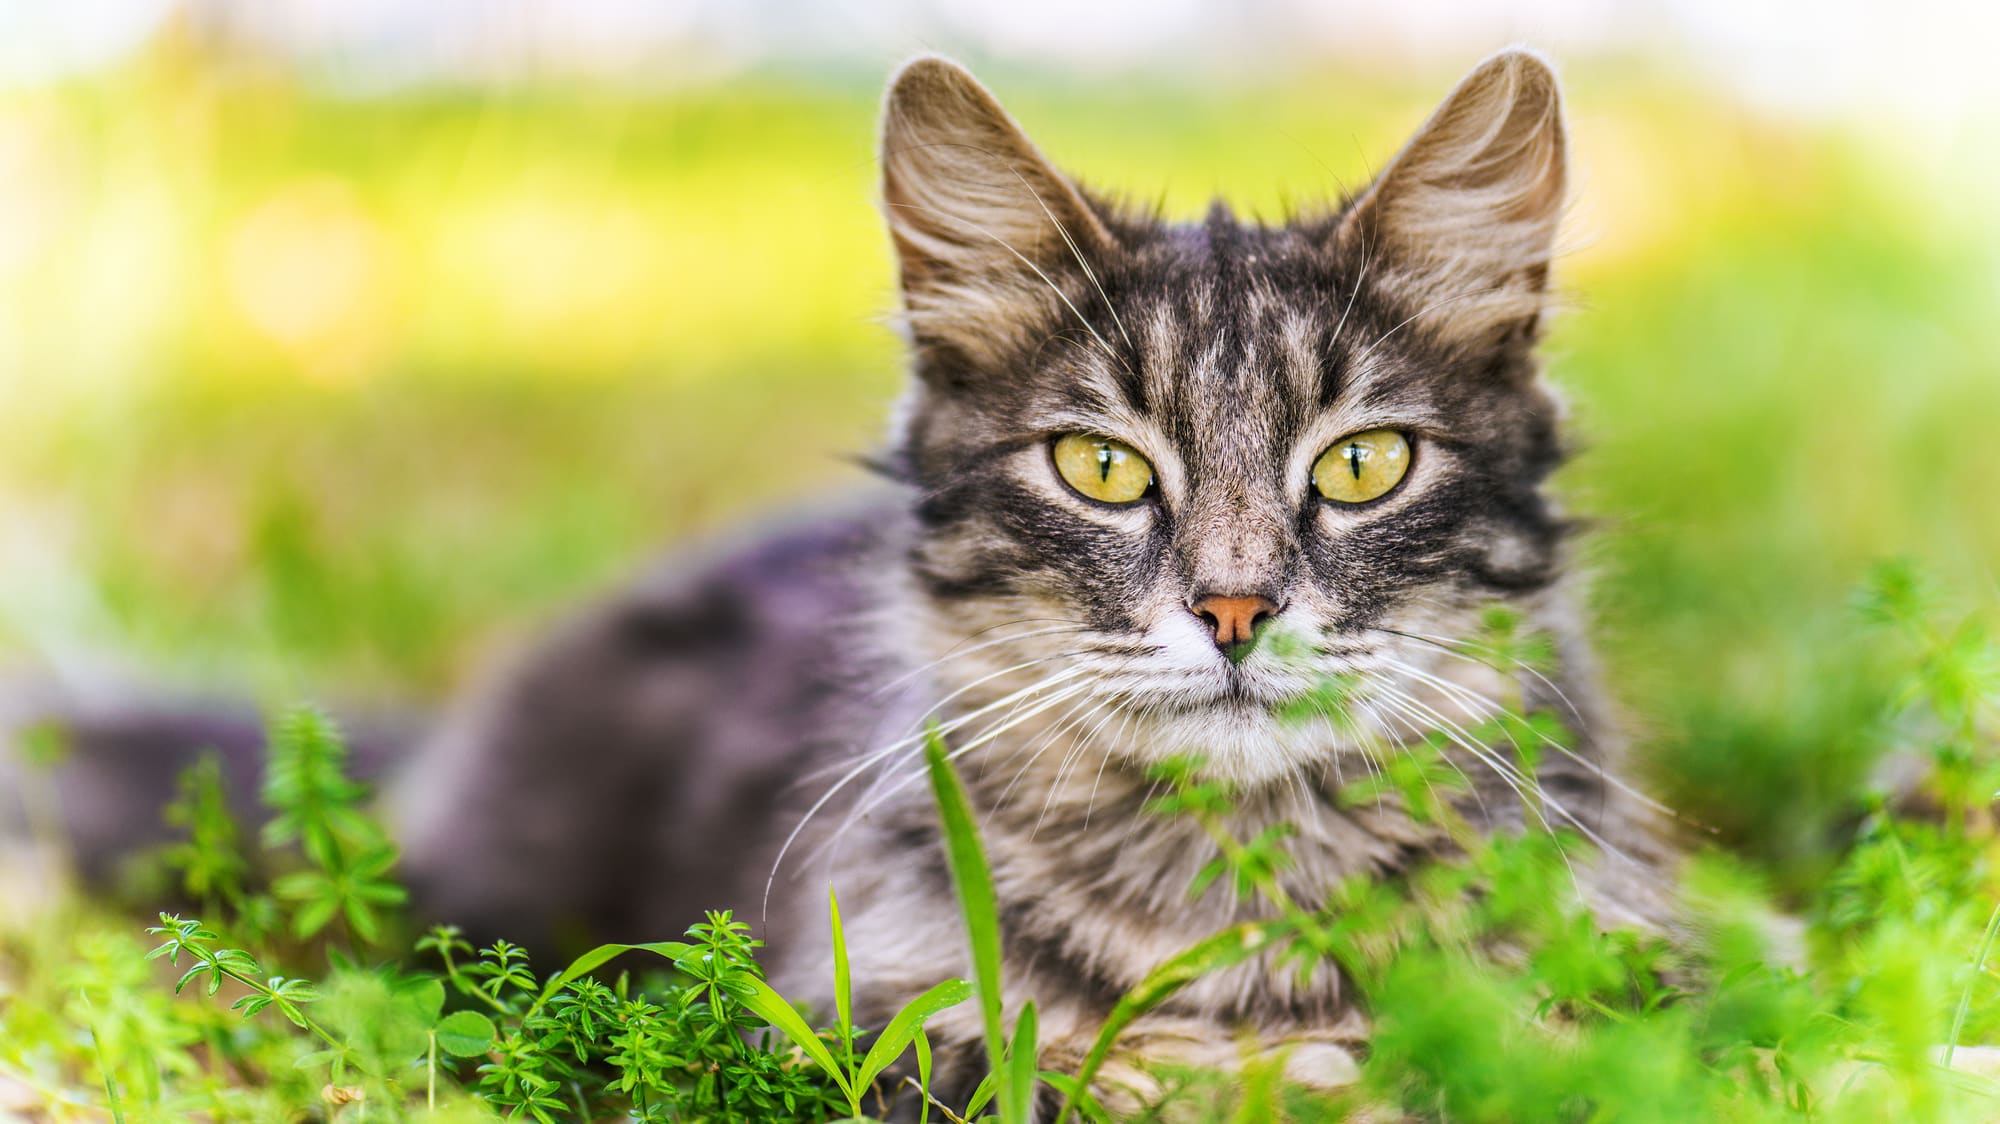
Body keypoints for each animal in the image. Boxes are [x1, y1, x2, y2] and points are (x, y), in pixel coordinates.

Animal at [7, 50, 1680, 1112]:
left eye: (1362, 465)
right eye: (1103, 469)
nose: (1233, 610)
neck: (1230, 892)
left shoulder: (1650, 958)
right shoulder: (841, 1010)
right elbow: (1049, 1067)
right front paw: (1230, 1079)